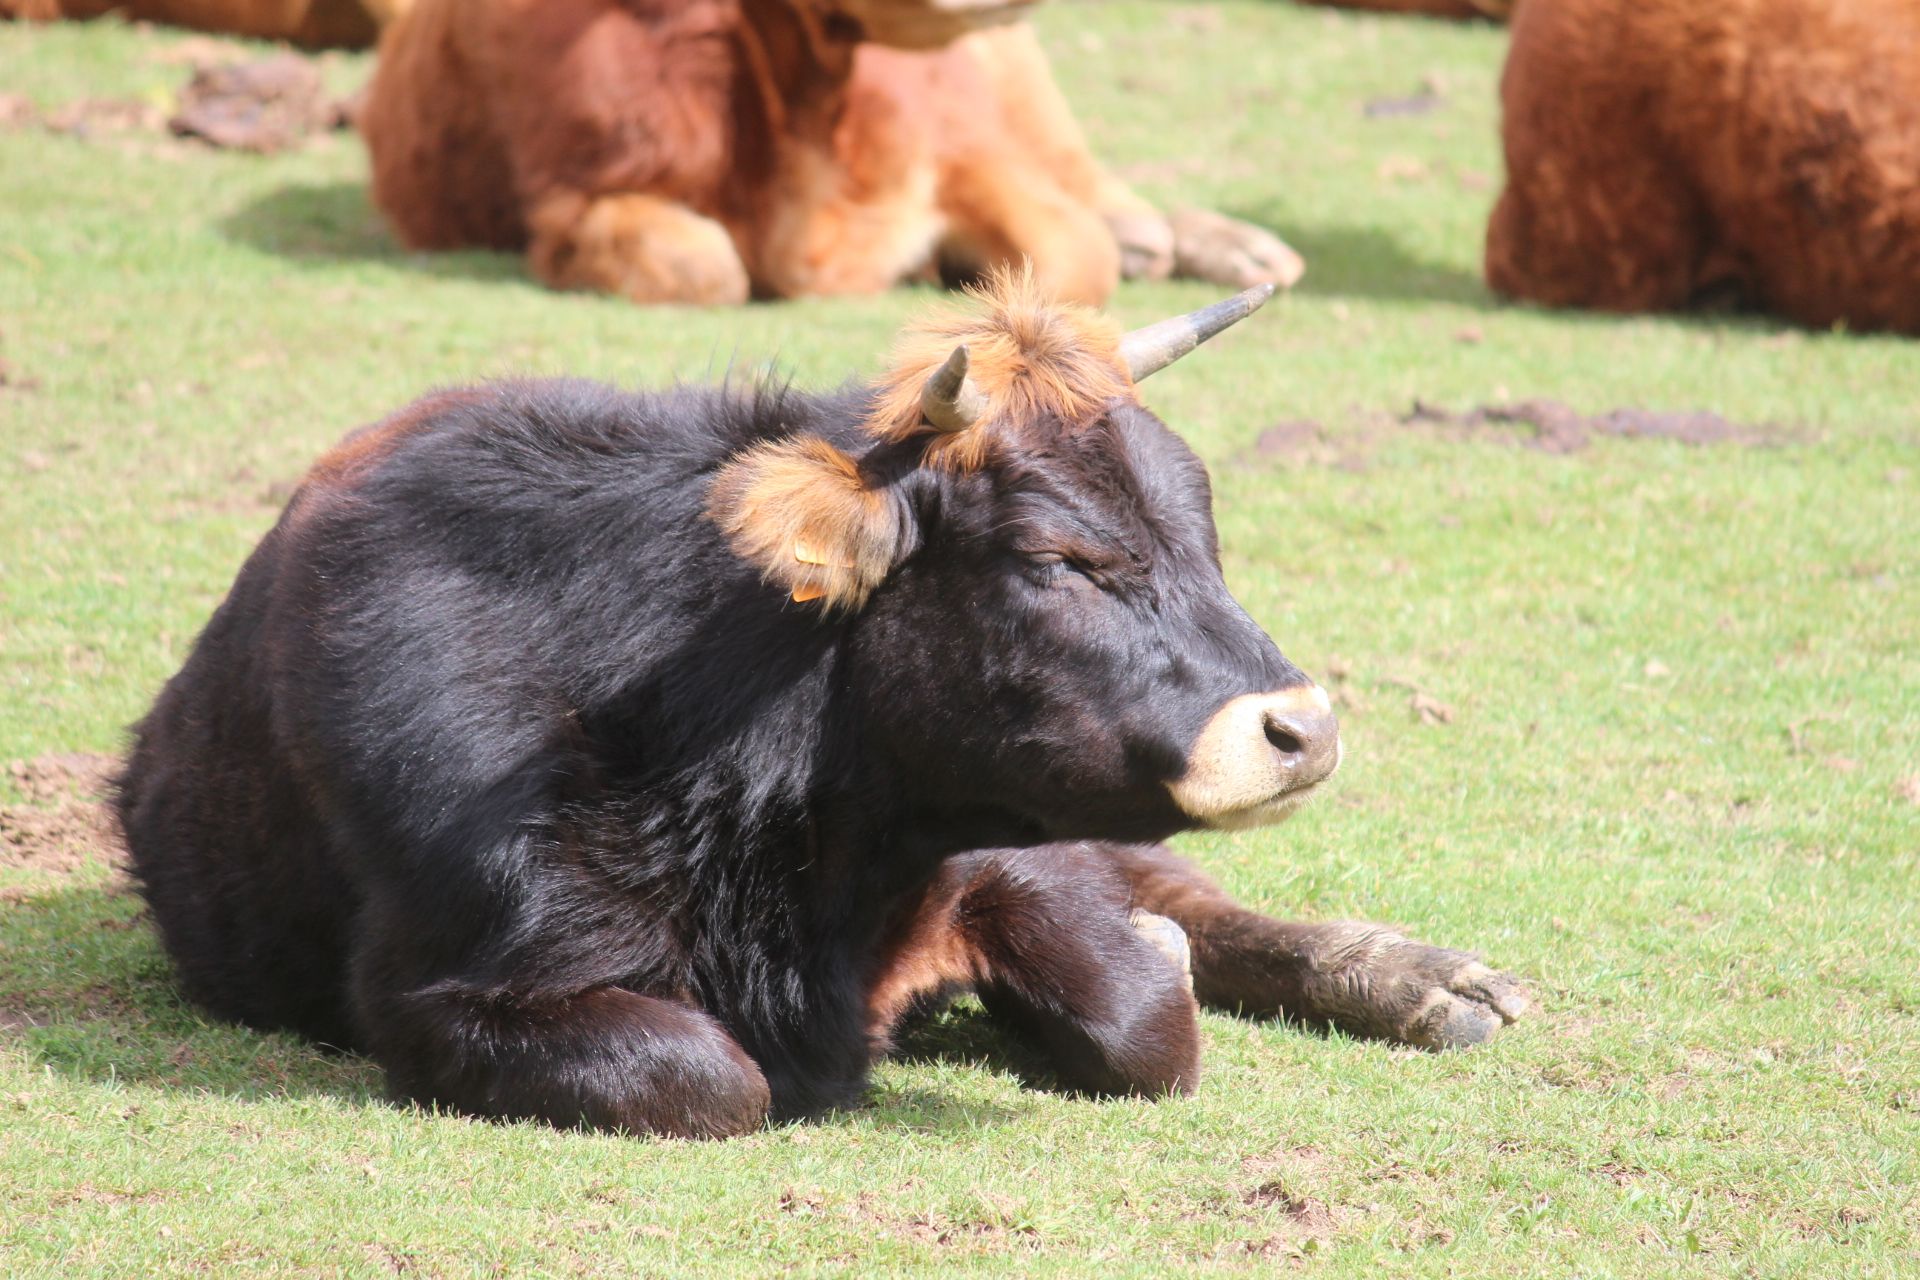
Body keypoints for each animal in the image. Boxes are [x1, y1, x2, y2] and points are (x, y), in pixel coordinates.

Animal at [120, 276, 1528, 1136]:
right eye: (1061, 559)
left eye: (1206, 530)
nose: (1303, 726)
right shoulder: (436, 993)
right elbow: (707, 1075)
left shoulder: (1005, 833)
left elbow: (1142, 1021)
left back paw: (1425, 977)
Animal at [360, 0, 1305, 307]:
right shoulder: (576, 197)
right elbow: (707, 268)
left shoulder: (958, 153)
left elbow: (1071, 252)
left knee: (1095, 185)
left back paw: (1230, 246)